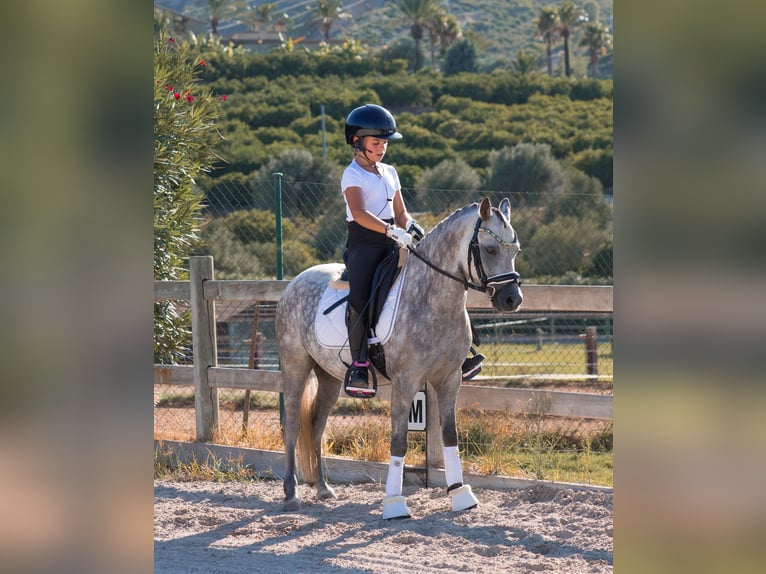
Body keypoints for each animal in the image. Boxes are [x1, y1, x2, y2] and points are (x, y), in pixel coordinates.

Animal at [275, 197, 523, 519]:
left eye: (515, 251)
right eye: (490, 249)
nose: (512, 299)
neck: (431, 297)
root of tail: (295, 283)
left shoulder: (449, 379)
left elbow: (450, 435)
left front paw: (460, 494)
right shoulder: (406, 382)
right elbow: (399, 441)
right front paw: (394, 503)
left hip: (329, 376)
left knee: (317, 424)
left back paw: (322, 488)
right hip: (295, 365)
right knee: (293, 425)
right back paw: (291, 493)